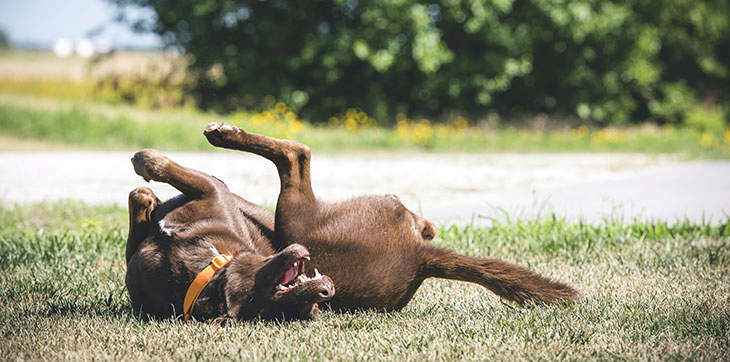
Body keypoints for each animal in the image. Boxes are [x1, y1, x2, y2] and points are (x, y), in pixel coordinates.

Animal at [126, 123, 580, 320]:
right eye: (294, 304)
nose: (326, 291)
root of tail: (421, 256)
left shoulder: (214, 192)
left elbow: (174, 175)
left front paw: (149, 165)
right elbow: (140, 206)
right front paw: (147, 199)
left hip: (295, 217)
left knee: (296, 154)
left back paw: (223, 134)